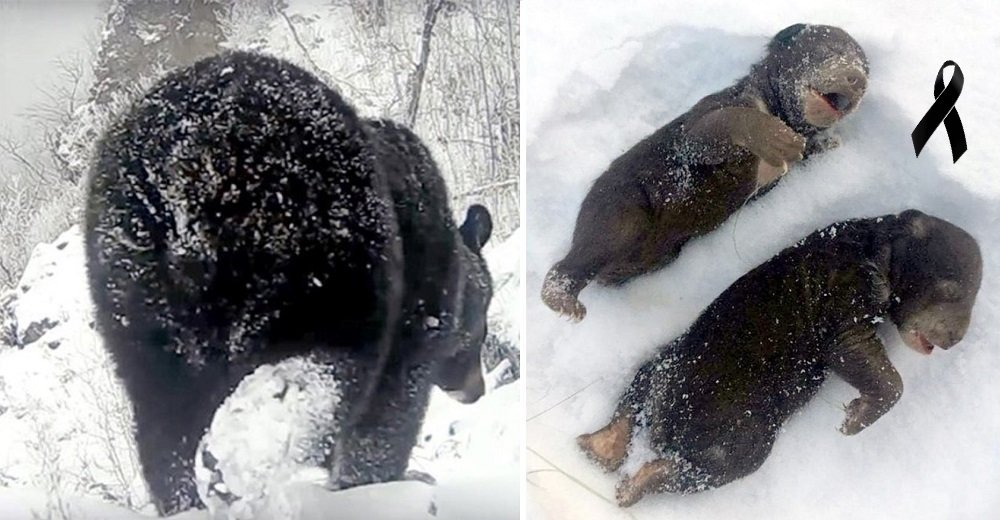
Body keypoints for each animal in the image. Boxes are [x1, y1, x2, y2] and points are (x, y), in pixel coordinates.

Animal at [85, 50, 492, 512]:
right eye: (483, 326)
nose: (477, 390)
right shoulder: (415, 322)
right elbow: (387, 421)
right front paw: (386, 484)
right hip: (319, 257)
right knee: (327, 374)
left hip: (134, 302)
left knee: (162, 430)